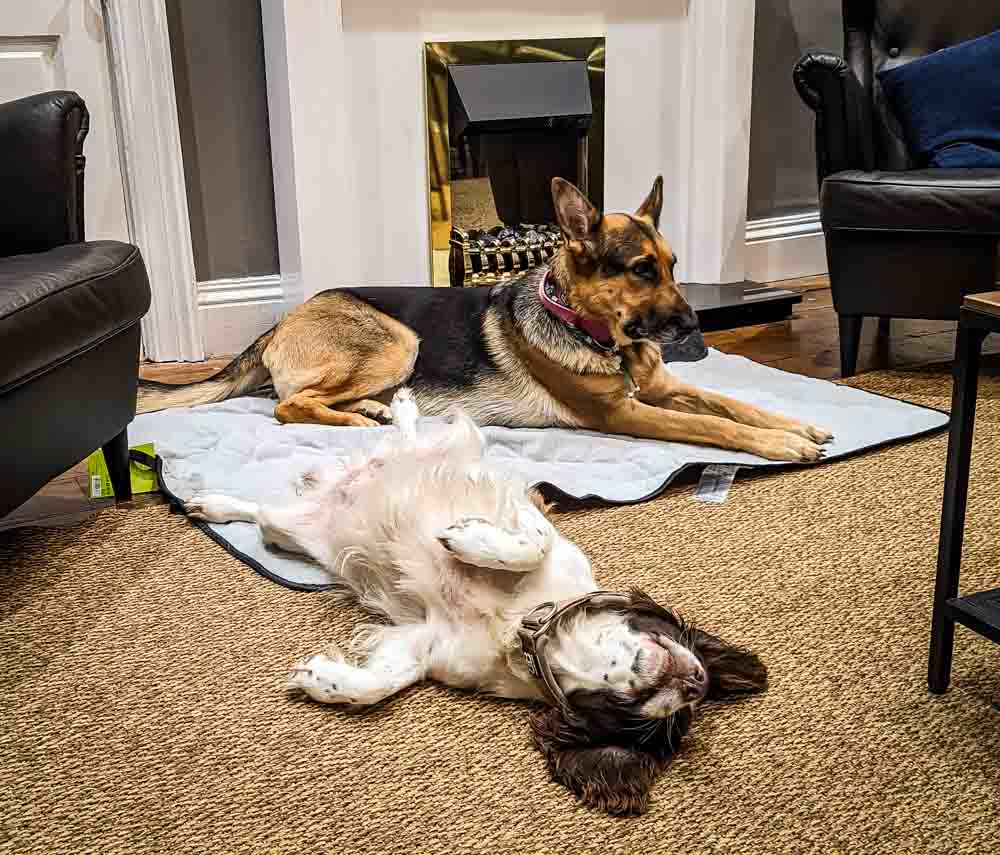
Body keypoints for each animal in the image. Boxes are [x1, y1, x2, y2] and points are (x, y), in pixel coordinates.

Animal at [139, 176, 828, 464]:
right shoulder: (624, 413)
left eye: (673, 265)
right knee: (287, 406)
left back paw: (372, 411)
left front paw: (795, 424)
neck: (593, 331)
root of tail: (282, 321)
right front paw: (782, 445)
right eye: (640, 270)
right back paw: (360, 421)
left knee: (309, 400)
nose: (692, 328)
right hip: (399, 340)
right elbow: (716, 427)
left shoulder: (662, 387)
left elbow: (734, 405)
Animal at [188, 390, 764, 816]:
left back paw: (212, 505)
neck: (525, 633)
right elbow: (532, 539)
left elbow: (380, 684)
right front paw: (468, 539)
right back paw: (398, 406)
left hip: (297, 534)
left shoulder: (425, 641)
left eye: (655, 724)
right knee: (418, 436)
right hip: (456, 444)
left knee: (264, 514)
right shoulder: (545, 534)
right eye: (677, 635)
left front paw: (322, 680)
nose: (698, 682)